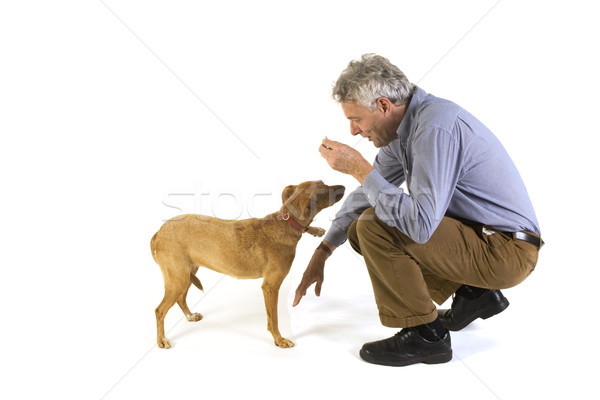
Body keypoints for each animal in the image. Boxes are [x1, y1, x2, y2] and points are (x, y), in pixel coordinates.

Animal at [152, 180, 344, 346]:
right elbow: (273, 319)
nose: (343, 186)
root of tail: (158, 232)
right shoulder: (270, 287)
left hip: (186, 275)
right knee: (159, 310)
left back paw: (190, 316)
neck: (286, 223)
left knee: (181, 298)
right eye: (325, 189)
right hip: (178, 278)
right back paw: (161, 340)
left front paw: (316, 230)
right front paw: (279, 340)